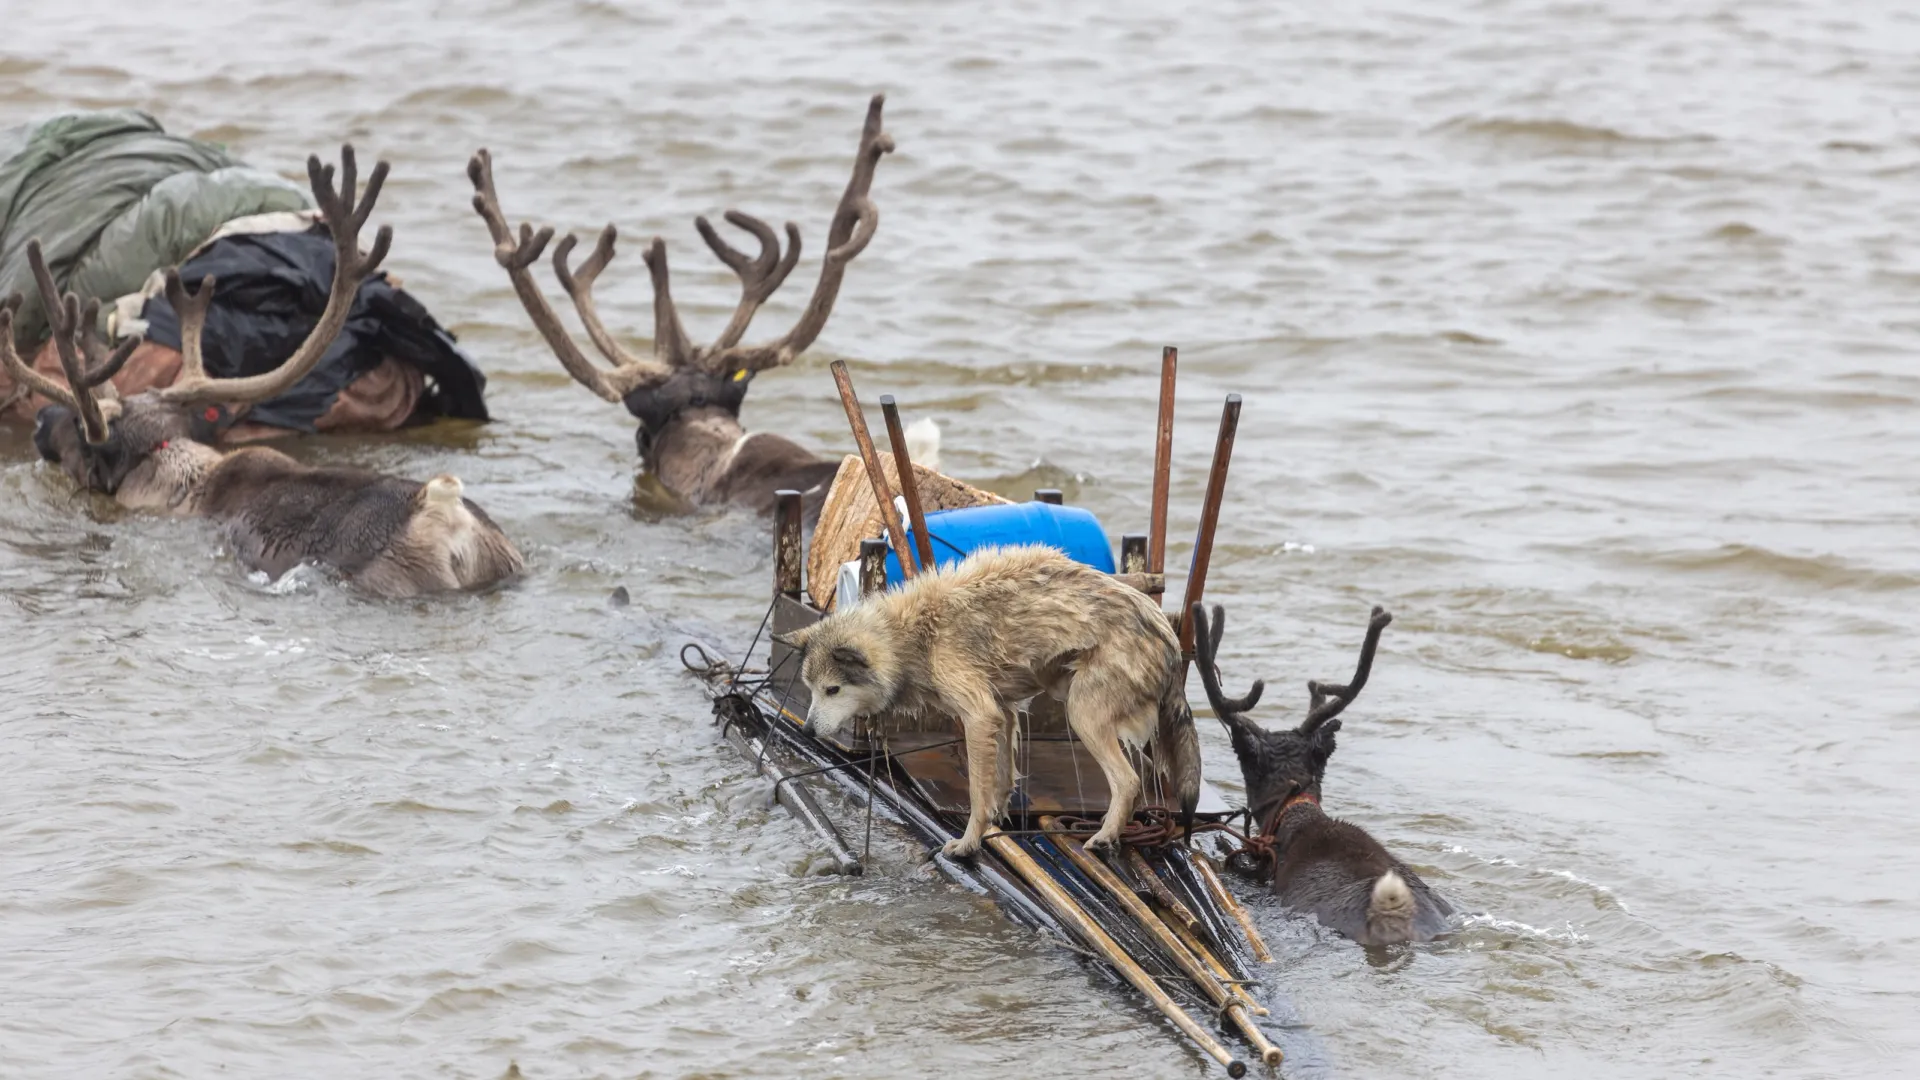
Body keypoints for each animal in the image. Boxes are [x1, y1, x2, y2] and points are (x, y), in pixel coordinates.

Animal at [768, 541, 1198, 853]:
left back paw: (1104, 836)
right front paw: (997, 824)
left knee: (1128, 782)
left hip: (1082, 714)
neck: (912, 636)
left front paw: (968, 843)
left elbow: (976, 792)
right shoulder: (1003, 711)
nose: (807, 732)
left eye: (833, 690)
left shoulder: (978, 715)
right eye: (810, 690)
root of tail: (1170, 637)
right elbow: (1001, 782)